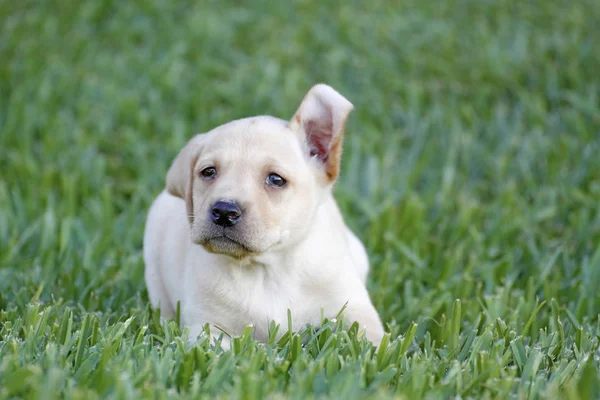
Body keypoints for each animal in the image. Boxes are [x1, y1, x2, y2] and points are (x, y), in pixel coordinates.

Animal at [143, 83, 382, 346]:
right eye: (208, 172)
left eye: (275, 179)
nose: (224, 211)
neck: (268, 269)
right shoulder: (206, 328)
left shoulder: (353, 306)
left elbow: (372, 340)